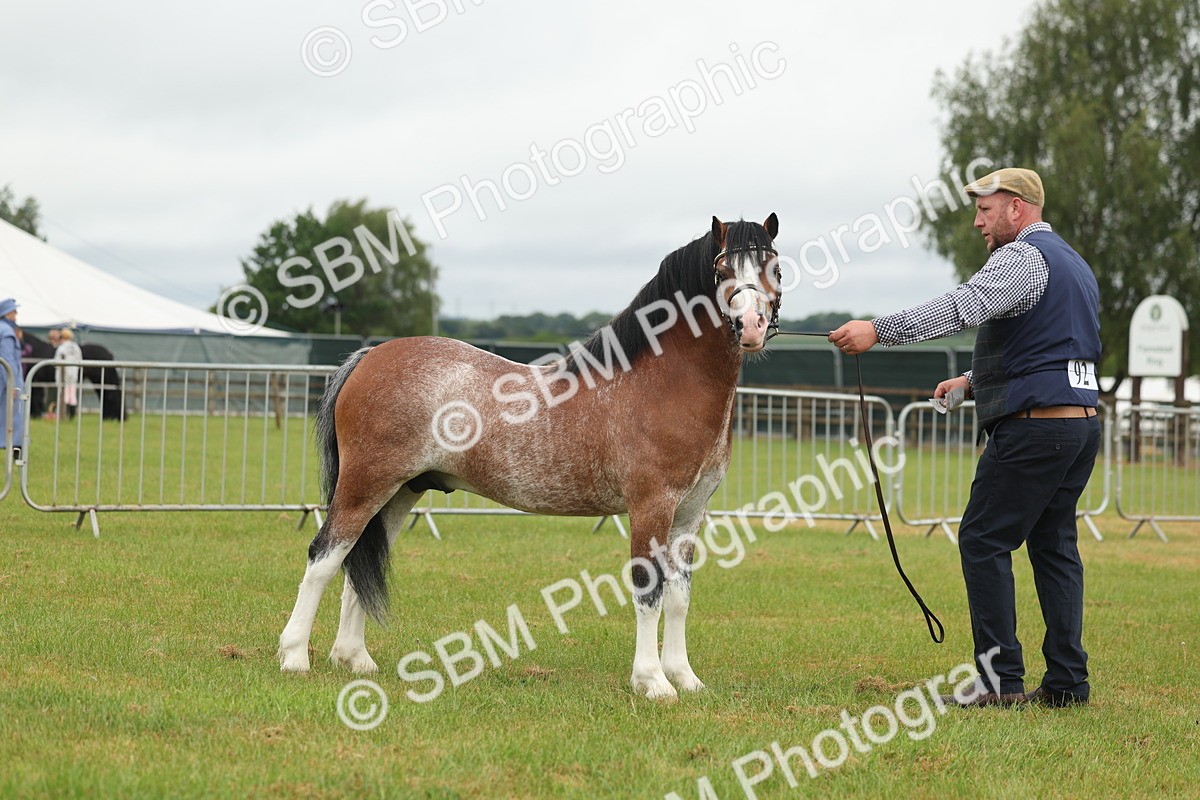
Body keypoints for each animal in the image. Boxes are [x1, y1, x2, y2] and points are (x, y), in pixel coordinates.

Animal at [278, 214, 783, 700]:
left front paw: (684, 678)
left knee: (357, 560)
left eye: (774, 268)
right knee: (325, 556)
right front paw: (652, 682)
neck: (660, 383)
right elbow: (648, 592)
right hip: (365, 483)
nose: (752, 326)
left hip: (400, 492)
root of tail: (369, 356)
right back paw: (294, 657)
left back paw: (354, 659)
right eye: (722, 270)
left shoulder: (689, 515)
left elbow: (678, 597)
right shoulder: (650, 508)